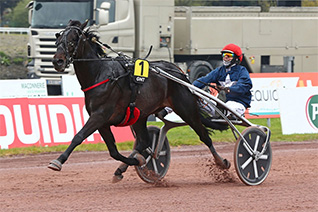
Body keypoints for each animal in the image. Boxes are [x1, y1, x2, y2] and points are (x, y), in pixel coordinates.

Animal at [49, 20, 229, 181]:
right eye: (58, 38)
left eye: (73, 40)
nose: (57, 61)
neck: (100, 75)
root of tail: (180, 73)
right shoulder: (103, 122)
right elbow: (113, 151)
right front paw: (137, 161)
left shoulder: (99, 116)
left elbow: (78, 136)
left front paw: (58, 161)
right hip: (140, 115)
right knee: (144, 141)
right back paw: (130, 165)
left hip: (186, 109)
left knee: (204, 136)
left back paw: (222, 162)